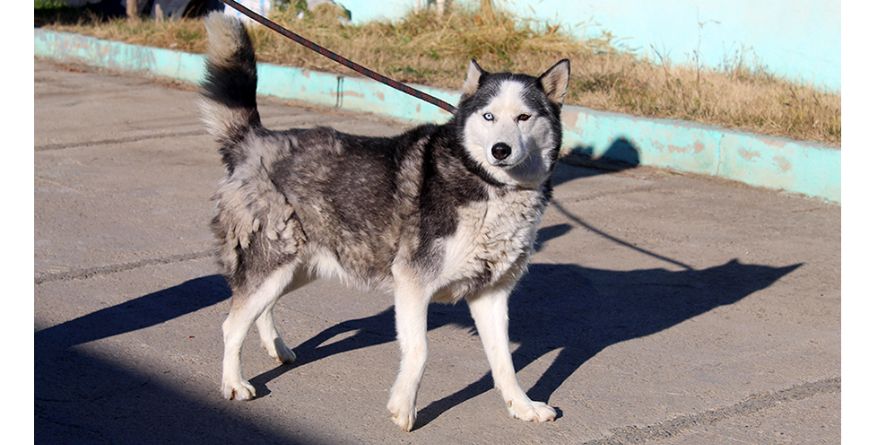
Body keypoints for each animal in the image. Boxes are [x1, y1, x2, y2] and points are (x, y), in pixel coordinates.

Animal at [203, 13, 568, 430]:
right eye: (489, 116)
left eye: (524, 117)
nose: (500, 150)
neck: (491, 187)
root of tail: (255, 141)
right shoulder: (412, 285)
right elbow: (420, 351)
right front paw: (404, 408)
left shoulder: (490, 295)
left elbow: (504, 362)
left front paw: (522, 406)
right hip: (274, 265)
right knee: (233, 324)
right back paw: (233, 382)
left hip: (297, 269)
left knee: (261, 309)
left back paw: (277, 347)